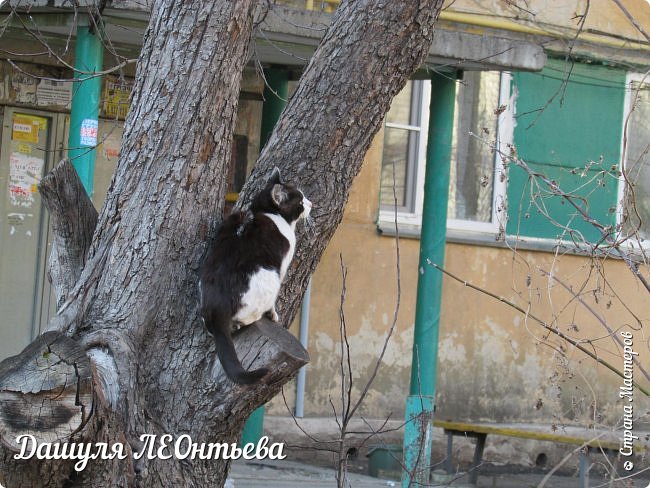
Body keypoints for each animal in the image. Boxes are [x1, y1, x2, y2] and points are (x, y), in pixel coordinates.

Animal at [197, 168, 312, 386]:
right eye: (301, 201)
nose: (311, 204)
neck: (265, 212)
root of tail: (217, 308)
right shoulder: (282, 267)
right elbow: (274, 304)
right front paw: (274, 315)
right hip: (270, 278)